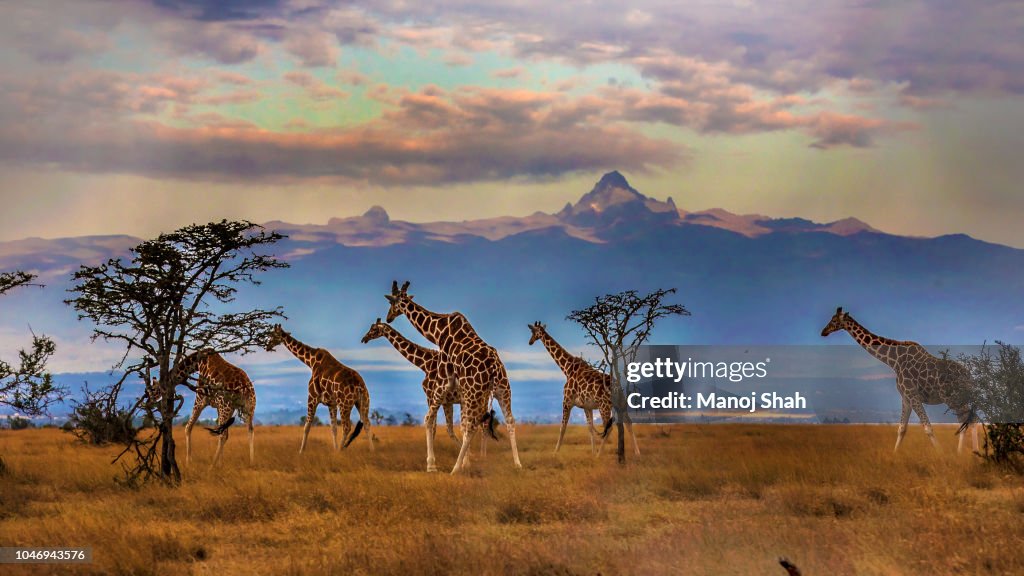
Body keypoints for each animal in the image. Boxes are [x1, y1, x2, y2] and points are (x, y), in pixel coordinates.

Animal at [265, 324, 373, 453]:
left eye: (273, 335)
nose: (267, 346)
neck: (311, 361)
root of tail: (360, 386)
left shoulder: (312, 397)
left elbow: (307, 426)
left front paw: (301, 451)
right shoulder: (332, 403)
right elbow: (333, 428)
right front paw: (334, 449)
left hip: (345, 404)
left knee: (347, 427)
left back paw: (340, 451)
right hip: (362, 402)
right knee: (366, 423)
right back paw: (371, 450)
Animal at [385, 280, 522, 473]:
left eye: (391, 303)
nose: (388, 317)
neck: (437, 332)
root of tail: (495, 367)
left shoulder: (443, 381)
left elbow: (430, 420)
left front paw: (432, 464)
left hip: (474, 392)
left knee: (472, 426)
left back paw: (456, 468)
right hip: (503, 389)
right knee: (509, 420)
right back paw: (517, 464)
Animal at [528, 321, 639, 455]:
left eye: (533, 331)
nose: (530, 342)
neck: (567, 368)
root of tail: (618, 387)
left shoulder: (566, 401)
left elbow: (562, 427)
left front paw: (555, 452)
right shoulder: (587, 406)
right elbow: (590, 428)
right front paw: (592, 452)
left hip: (604, 406)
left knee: (609, 428)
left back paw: (600, 455)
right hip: (620, 404)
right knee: (628, 423)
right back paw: (637, 453)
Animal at [821, 307, 979, 453]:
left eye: (834, 320)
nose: (823, 331)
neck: (894, 361)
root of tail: (969, 377)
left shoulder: (912, 394)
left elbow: (927, 427)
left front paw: (941, 454)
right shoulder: (905, 397)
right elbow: (902, 428)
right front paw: (894, 455)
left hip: (953, 398)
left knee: (968, 419)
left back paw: (965, 453)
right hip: (959, 398)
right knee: (969, 419)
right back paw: (967, 453)